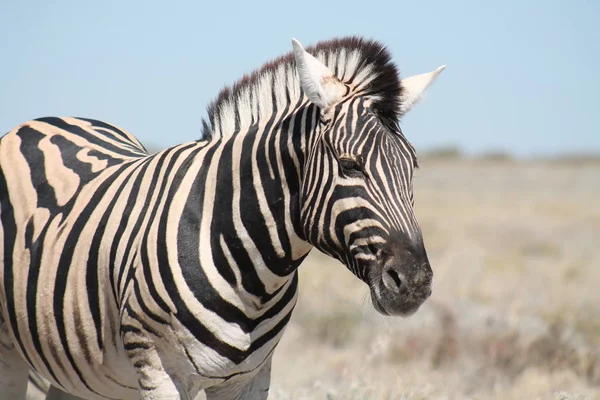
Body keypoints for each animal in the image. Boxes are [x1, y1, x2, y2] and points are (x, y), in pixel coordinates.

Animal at [0, 36, 440, 398]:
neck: (253, 274)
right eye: (350, 166)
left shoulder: (251, 379)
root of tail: (49, 119)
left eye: (412, 168)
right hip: (16, 356)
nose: (415, 282)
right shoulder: (160, 372)